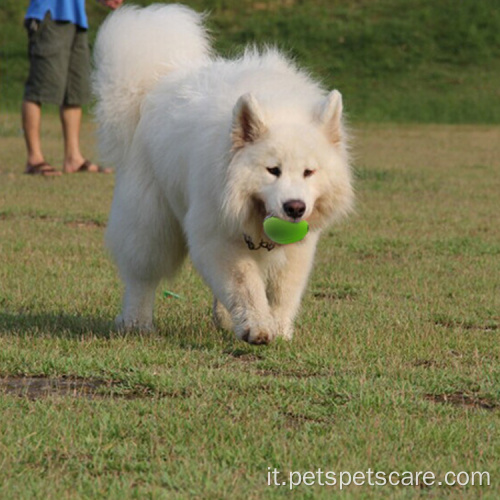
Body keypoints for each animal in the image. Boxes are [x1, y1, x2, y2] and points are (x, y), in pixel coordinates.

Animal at [93, 3, 352, 346]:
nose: (295, 208)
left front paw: (280, 329)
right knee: (142, 275)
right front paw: (258, 326)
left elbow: (283, 292)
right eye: (273, 170)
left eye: (309, 172)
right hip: (151, 220)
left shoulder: (298, 248)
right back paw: (137, 322)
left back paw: (225, 318)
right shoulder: (216, 236)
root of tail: (160, 81)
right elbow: (245, 283)